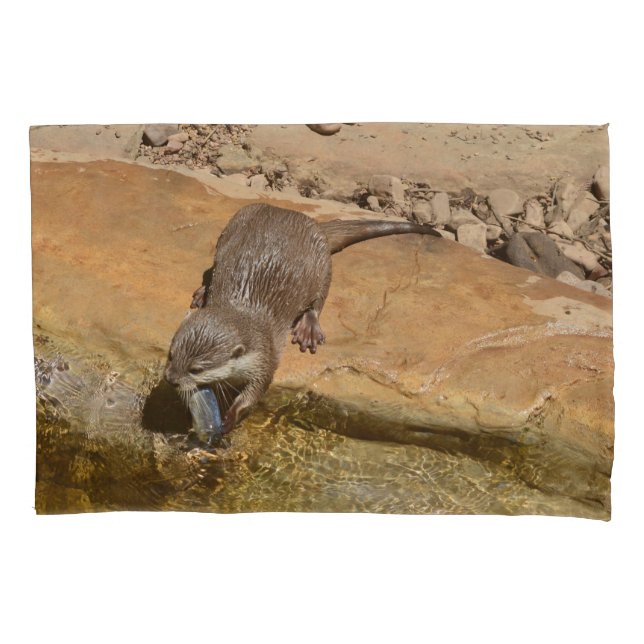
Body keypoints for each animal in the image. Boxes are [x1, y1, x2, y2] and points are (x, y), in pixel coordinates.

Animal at [164, 203, 441, 434]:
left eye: (196, 369)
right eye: (171, 355)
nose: (170, 379)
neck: (241, 310)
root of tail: (306, 219)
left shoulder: (265, 358)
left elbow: (254, 393)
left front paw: (230, 417)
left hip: (322, 265)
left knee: (318, 300)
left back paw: (308, 328)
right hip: (231, 228)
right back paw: (204, 292)